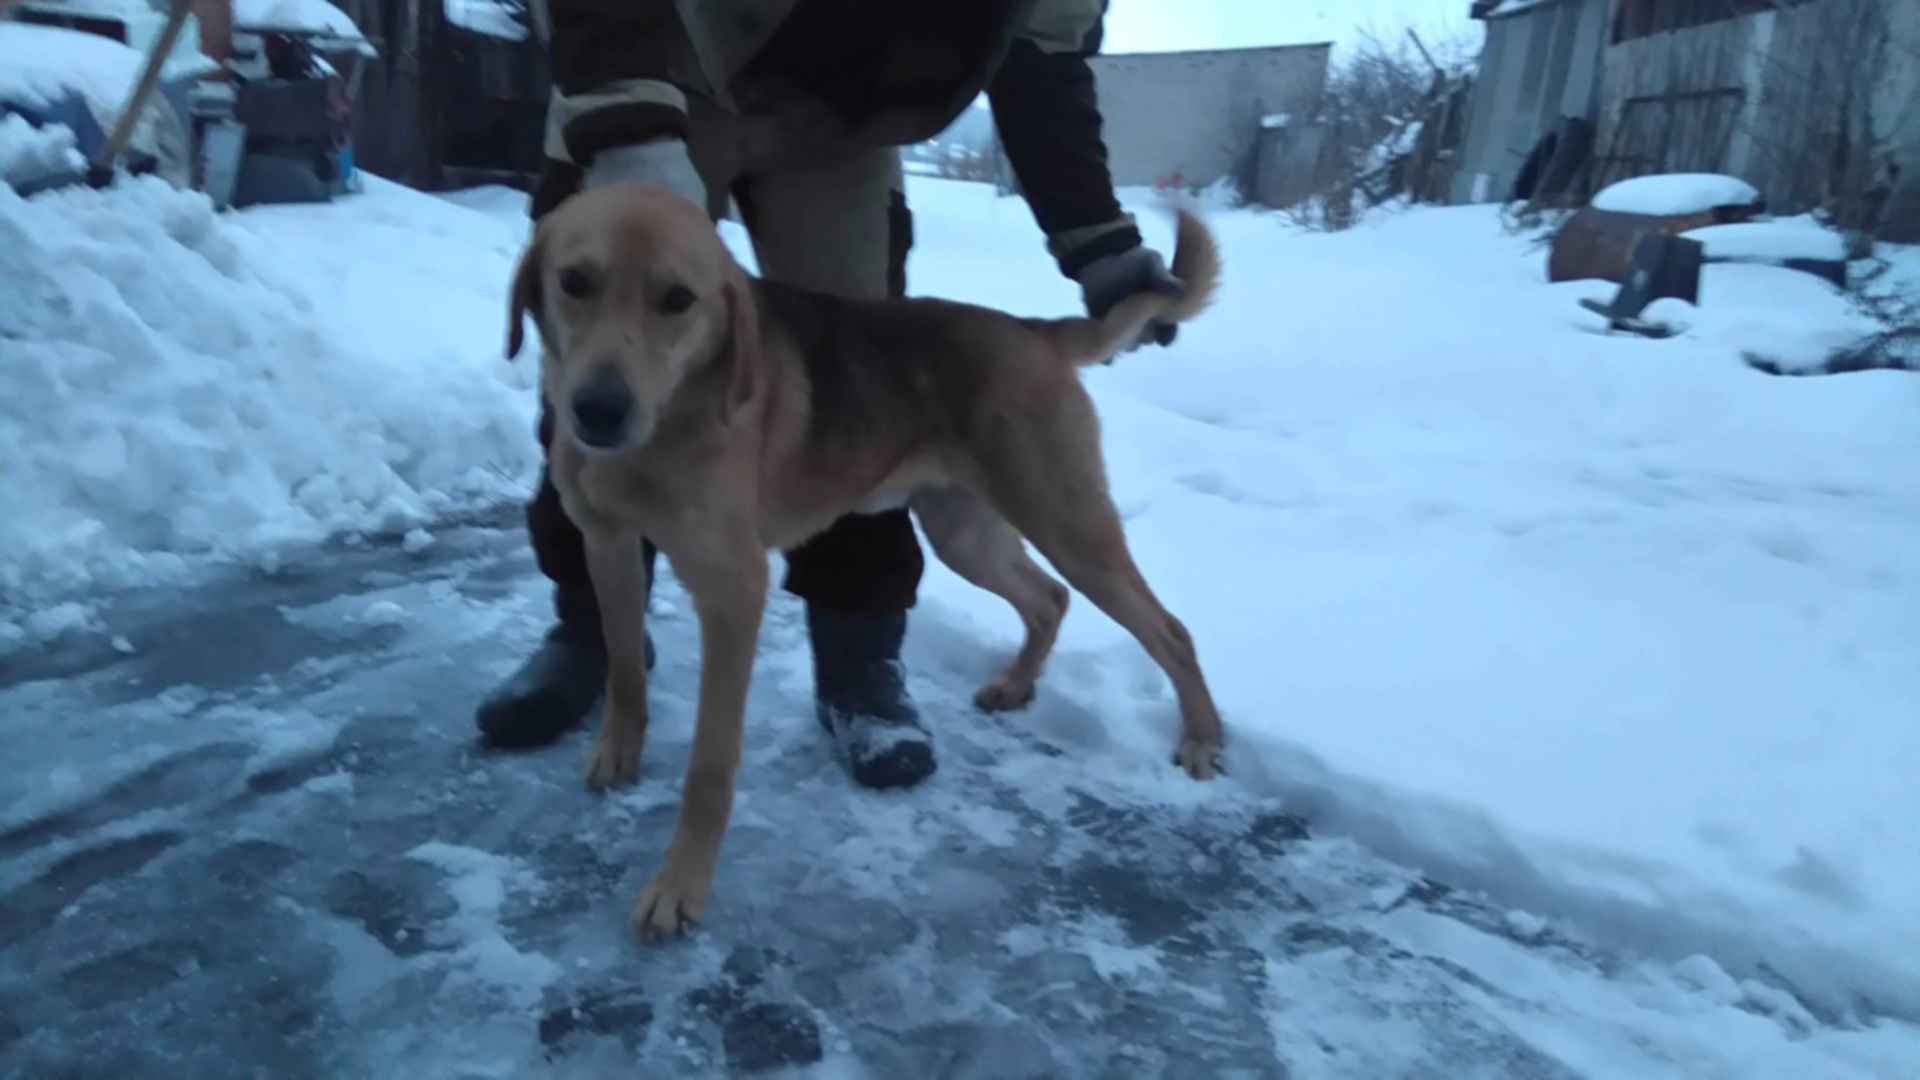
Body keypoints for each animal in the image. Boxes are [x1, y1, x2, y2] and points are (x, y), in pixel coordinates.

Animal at [510, 180, 1228, 937]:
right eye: (574, 282)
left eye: (678, 299)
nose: (598, 411)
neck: (667, 426)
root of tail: (1031, 330)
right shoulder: (609, 546)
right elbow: (623, 670)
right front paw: (618, 752)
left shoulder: (734, 590)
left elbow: (710, 763)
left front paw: (681, 885)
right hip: (963, 531)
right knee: (1047, 598)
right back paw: (1016, 685)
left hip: (1068, 523)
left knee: (1169, 629)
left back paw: (1203, 738)